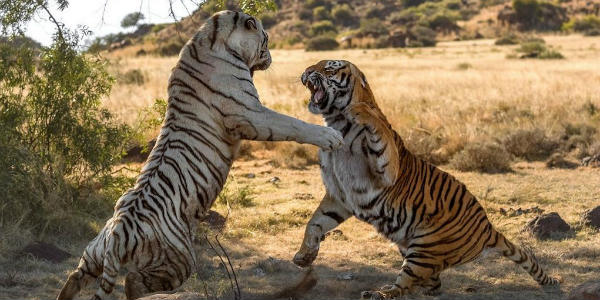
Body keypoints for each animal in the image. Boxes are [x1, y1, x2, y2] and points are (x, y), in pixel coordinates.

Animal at [292, 59, 560, 298]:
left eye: (329, 68)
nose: (305, 71)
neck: (335, 121)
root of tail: (488, 228)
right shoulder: (340, 195)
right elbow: (315, 223)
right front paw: (303, 256)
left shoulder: (385, 169)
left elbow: (377, 126)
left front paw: (359, 110)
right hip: (413, 249)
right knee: (432, 285)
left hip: (425, 248)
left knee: (406, 284)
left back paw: (378, 293)